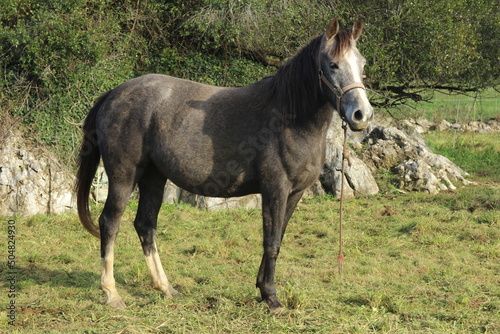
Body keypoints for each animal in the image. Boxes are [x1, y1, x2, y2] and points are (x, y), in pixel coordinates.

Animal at [74, 18, 372, 314]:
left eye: (362, 63)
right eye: (332, 64)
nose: (362, 115)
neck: (289, 120)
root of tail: (114, 94)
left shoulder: (295, 193)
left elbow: (277, 238)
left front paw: (262, 289)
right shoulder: (275, 189)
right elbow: (271, 242)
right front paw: (272, 298)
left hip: (153, 177)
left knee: (145, 225)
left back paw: (166, 287)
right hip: (123, 177)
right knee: (110, 223)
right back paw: (112, 293)